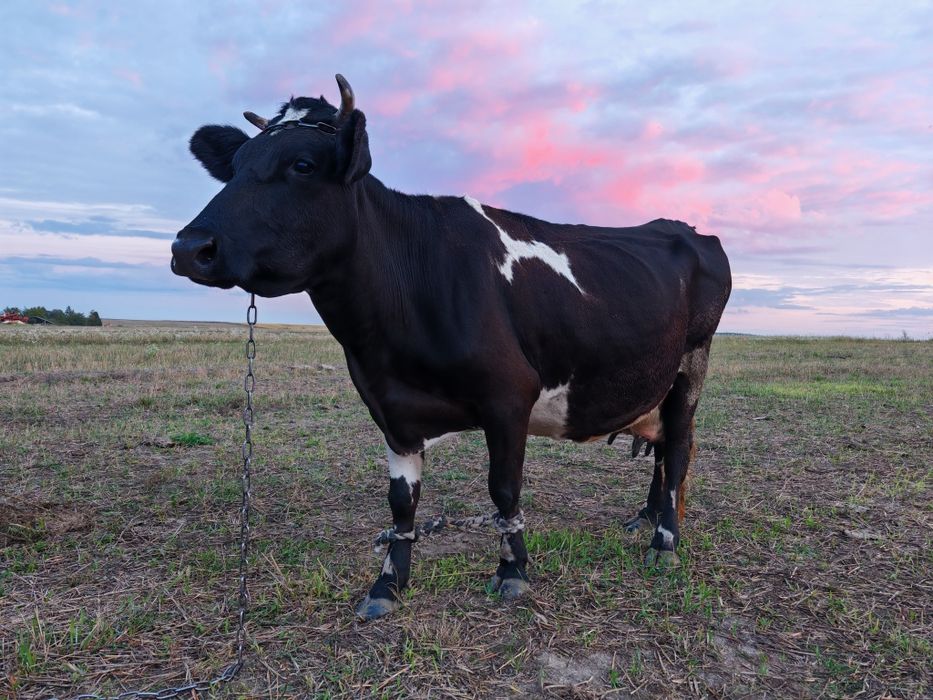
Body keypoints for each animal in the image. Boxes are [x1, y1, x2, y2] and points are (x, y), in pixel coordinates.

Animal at [171, 75, 732, 621]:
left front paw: (512, 572)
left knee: (678, 448)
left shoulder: (509, 396)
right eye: (234, 167)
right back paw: (646, 518)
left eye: (303, 164)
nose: (189, 248)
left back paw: (664, 542)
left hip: (692, 364)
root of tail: (686, 230)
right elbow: (401, 502)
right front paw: (388, 583)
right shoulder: (389, 407)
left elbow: (504, 489)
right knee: (664, 449)